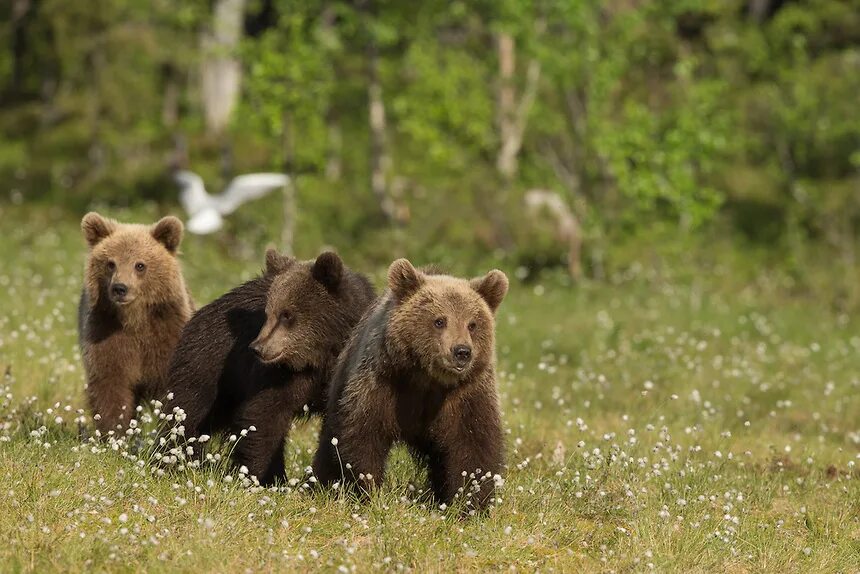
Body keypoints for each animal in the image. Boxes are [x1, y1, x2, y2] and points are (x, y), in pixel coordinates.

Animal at [78, 212, 194, 436]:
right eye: (110, 263)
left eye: (140, 265)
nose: (120, 288)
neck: (134, 319)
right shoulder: (105, 334)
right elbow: (110, 383)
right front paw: (115, 433)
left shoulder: (166, 335)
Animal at [165, 251, 372, 486]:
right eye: (268, 313)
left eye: (287, 314)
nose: (257, 347)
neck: (319, 356)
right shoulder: (278, 375)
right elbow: (265, 415)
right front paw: (263, 477)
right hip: (209, 364)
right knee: (190, 409)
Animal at [312, 258, 508, 516]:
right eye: (439, 320)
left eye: (472, 324)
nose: (462, 352)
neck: (427, 380)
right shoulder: (383, 384)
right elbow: (363, 434)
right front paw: (366, 491)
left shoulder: (466, 395)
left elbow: (474, 446)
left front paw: (470, 506)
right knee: (330, 441)